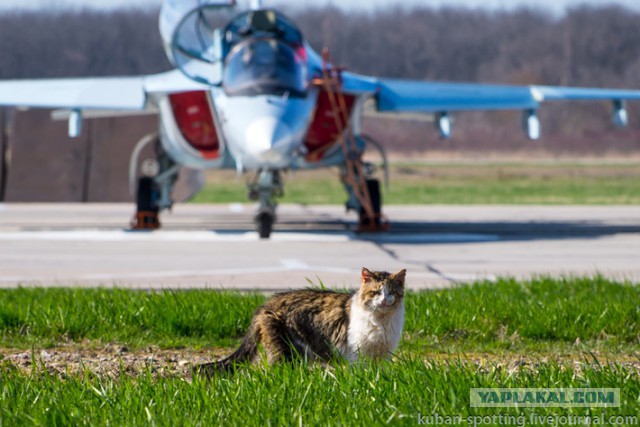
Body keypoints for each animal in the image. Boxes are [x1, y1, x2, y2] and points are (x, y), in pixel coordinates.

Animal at [195, 270, 404, 376]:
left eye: (391, 292)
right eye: (376, 292)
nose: (384, 300)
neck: (381, 321)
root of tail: (266, 304)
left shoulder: (383, 353)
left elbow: (377, 374)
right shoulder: (357, 353)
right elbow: (360, 373)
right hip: (287, 350)